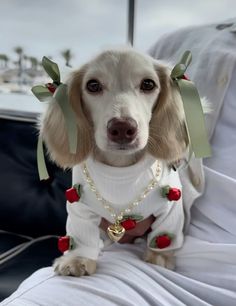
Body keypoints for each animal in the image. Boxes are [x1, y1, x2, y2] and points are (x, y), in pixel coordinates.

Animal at [40, 49, 190, 276]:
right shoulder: (79, 207)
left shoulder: (171, 206)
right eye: (93, 85)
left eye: (148, 84)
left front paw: (160, 256)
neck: (120, 170)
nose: (122, 128)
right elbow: (81, 235)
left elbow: (165, 234)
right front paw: (77, 259)